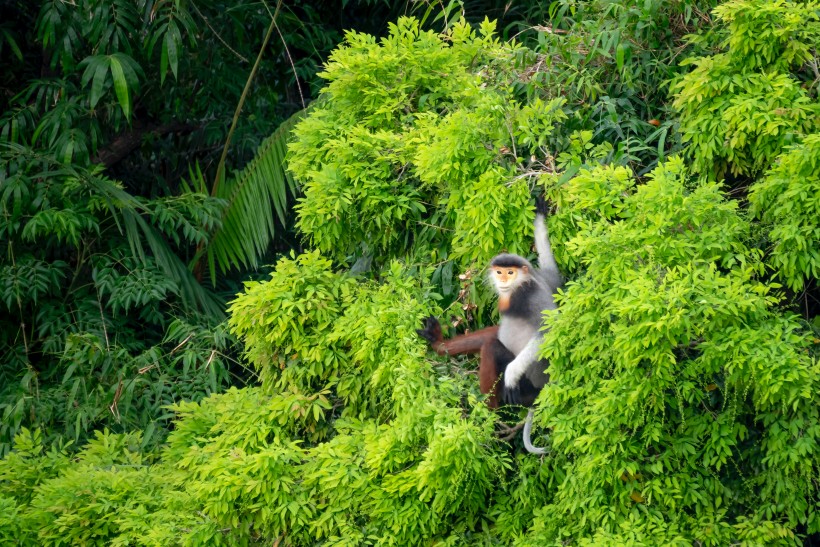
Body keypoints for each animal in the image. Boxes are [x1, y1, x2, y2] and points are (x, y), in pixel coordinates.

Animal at [420, 196, 560, 454]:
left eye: (510, 272)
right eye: (499, 272)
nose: (503, 278)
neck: (516, 291)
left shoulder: (531, 295)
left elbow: (549, 329)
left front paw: (512, 373)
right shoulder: (547, 280)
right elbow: (552, 271)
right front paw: (539, 215)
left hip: (527, 391)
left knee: (492, 348)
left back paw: (489, 419)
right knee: (490, 338)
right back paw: (438, 343)